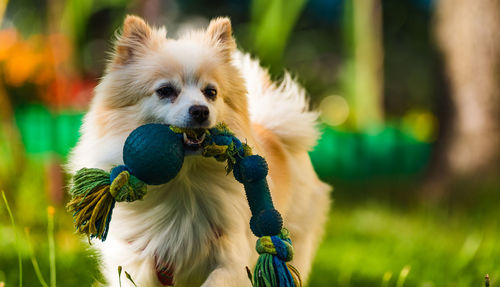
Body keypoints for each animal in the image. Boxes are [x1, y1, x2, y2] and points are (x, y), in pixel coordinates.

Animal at [67, 14, 332, 286]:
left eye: (210, 92)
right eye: (165, 91)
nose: (200, 110)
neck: (184, 179)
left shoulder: (231, 255)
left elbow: (217, 279)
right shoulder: (138, 261)